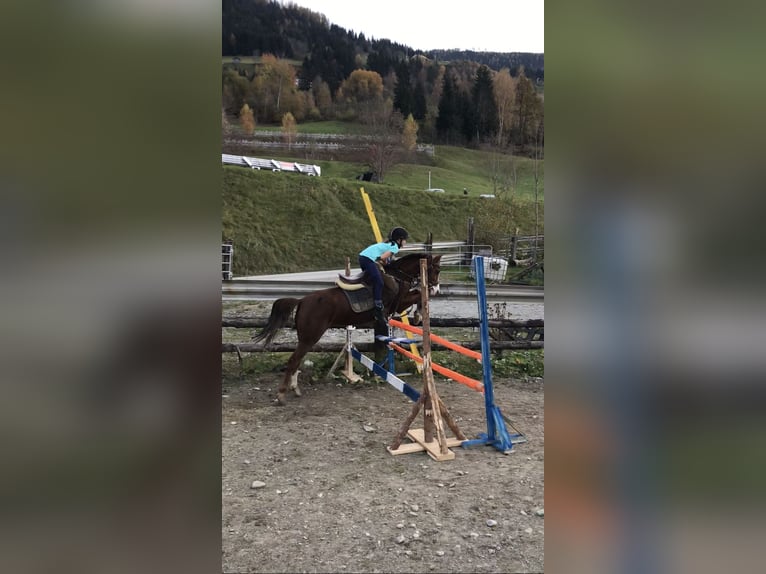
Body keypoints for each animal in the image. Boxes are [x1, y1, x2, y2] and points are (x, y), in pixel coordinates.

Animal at [254, 254, 444, 408]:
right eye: (436, 270)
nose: (436, 289)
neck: (397, 276)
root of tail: (301, 301)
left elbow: (418, 294)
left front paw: (419, 313)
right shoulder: (400, 302)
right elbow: (419, 294)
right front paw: (419, 312)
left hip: (306, 337)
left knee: (297, 360)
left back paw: (295, 389)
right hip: (310, 336)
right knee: (294, 360)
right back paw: (282, 394)